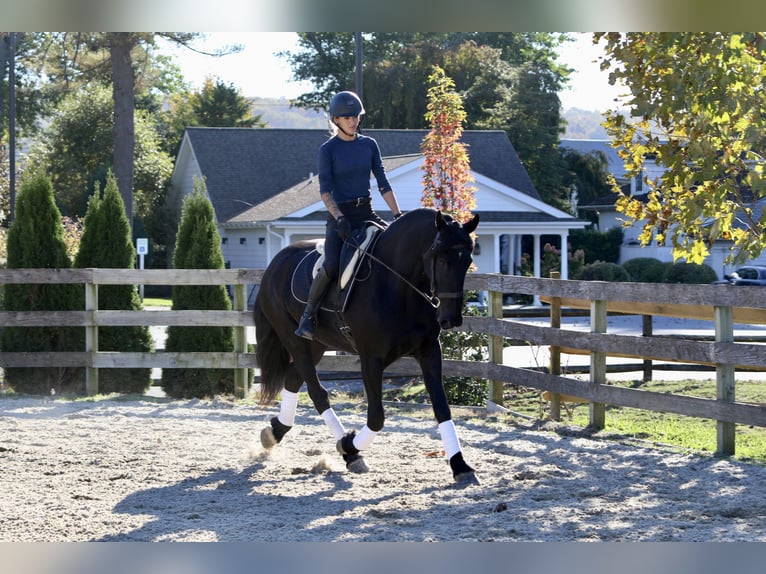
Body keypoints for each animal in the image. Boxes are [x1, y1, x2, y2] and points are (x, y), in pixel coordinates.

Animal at [253, 208, 480, 484]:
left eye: (467, 261)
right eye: (443, 260)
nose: (451, 319)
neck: (397, 284)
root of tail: (275, 263)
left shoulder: (429, 351)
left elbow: (442, 408)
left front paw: (460, 466)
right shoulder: (371, 358)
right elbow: (377, 417)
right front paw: (348, 445)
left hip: (317, 344)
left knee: (294, 378)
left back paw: (276, 431)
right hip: (295, 339)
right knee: (317, 393)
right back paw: (350, 454)